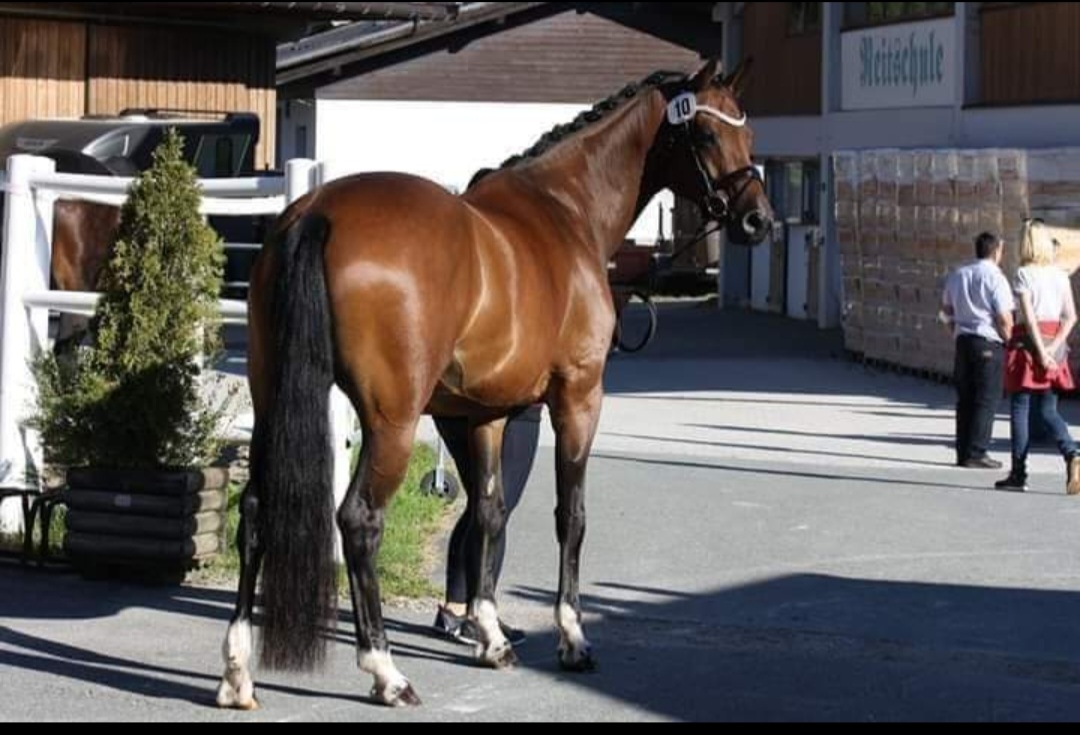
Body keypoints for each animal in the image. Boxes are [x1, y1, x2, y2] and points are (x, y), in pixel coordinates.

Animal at [214, 60, 773, 708]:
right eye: (705, 135)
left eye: (748, 134)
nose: (758, 219)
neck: (566, 212)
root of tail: (318, 213)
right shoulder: (579, 397)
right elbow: (570, 514)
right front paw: (572, 638)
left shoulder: (478, 415)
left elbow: (488, 512)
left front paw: (490, 635)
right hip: (391, 423)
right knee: (358, 521)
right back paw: (386, 671)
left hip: (272, 399)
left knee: (256, 512)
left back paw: (237, 672)